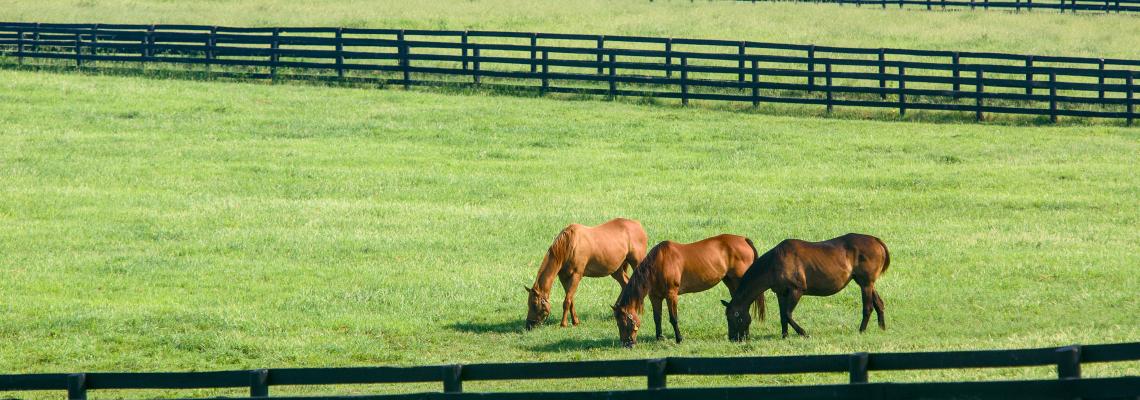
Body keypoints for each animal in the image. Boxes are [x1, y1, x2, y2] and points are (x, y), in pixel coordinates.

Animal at [611, 234, 761, 348]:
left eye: (624, 323)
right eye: (617, 323)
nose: (627, 344)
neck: (659, 263)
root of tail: (744, 240)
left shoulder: (672, 295)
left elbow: (673, 318)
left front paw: (679, 339)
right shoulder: (655, 296)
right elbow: (657, 318)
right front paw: (659, 337)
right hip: (730, 281)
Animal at [720, 233, 889, 344]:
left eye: (733, 317)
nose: (733, 338)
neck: (774, 264)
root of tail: (876, 240)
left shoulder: (797, 290)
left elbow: (788, 314)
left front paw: (803, 333)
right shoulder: (781, 293)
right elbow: (782, 316)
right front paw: (784, 335)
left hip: (865, 284)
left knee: (868, 307)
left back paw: (862, 330)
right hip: (866, 283)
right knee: (879, 304)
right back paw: (882, 328)